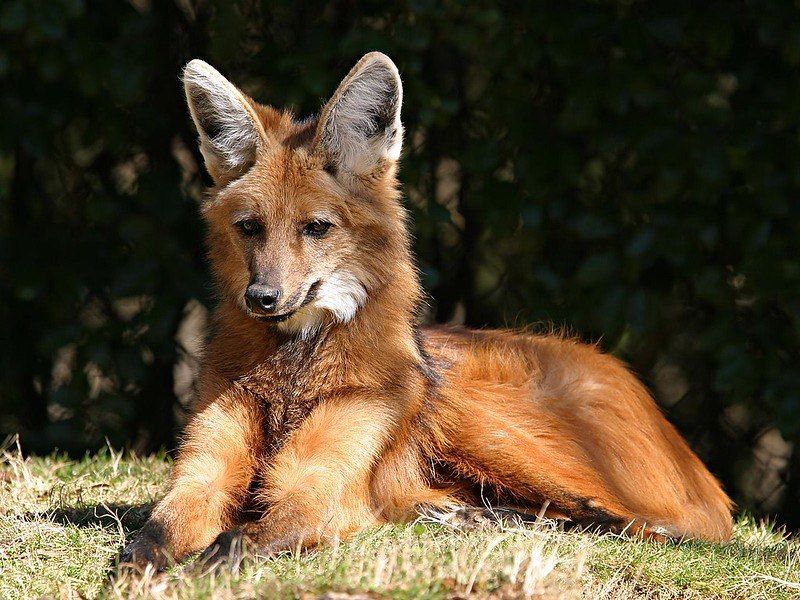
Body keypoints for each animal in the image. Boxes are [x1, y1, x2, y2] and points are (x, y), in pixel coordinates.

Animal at [120, 52, 733, 572]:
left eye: (316, 228)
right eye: (250, 228)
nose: (262, 298)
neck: (293, 370)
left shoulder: (317, 489)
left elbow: (253, 532)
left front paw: (202, 567)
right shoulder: (204, 474)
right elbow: (158, 530)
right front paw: (143, 568)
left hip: (477, 415)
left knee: (638, 523)